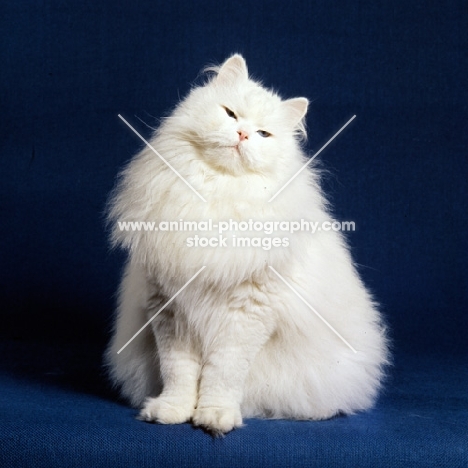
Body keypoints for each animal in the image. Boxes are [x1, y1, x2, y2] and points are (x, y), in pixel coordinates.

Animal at [105, 54, 388, 436]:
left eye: (263, 134)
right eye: (230, 114)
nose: (242, 134)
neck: (216, 192)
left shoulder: (246, 314)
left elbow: (222, 374)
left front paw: (214, 416)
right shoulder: (169, 309)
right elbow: (178, 373)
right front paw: (172, 411)